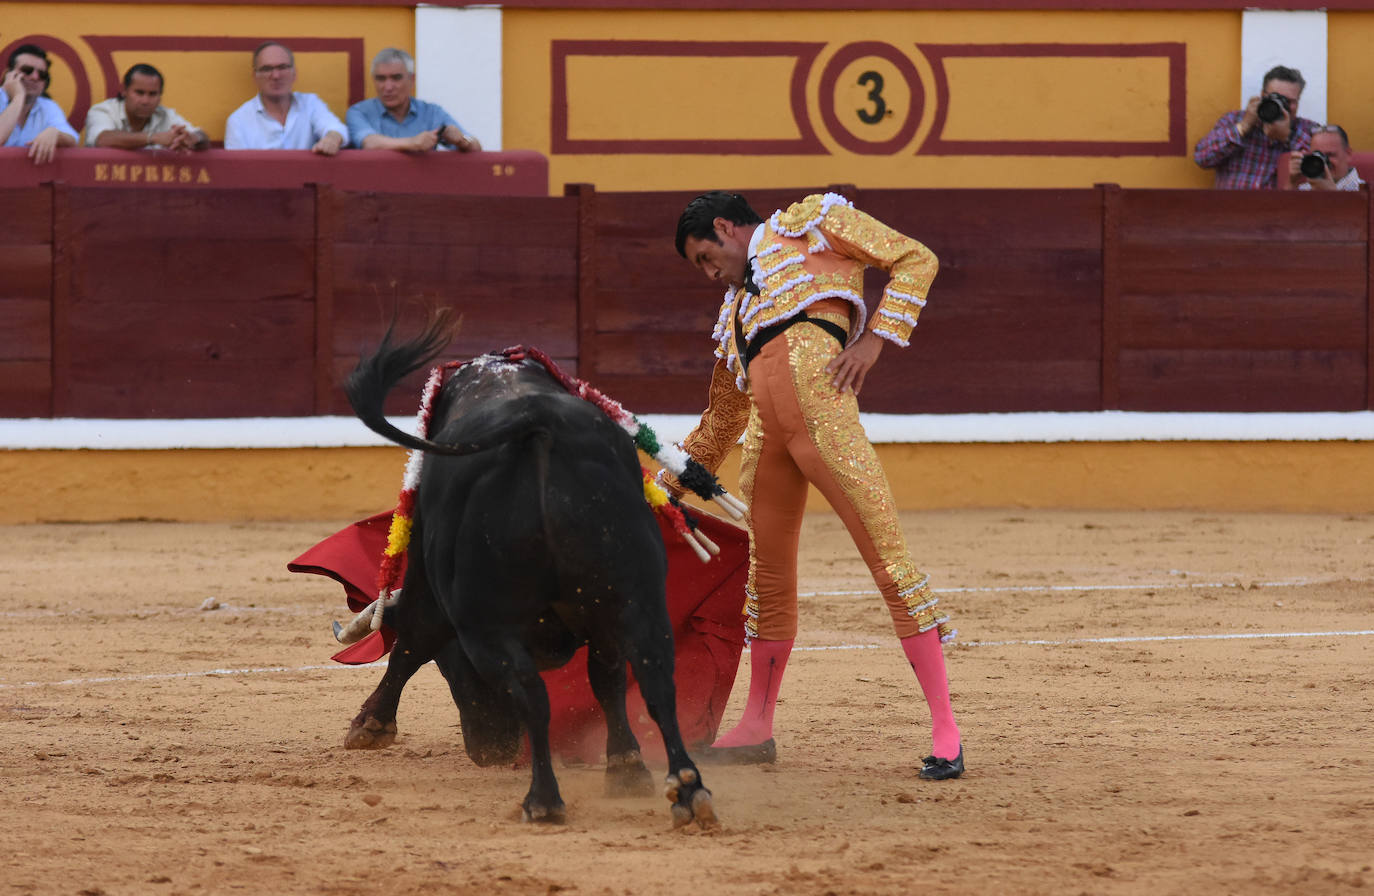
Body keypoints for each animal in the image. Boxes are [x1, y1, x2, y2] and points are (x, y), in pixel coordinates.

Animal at [343, 325, 719, 830]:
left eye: (447, 664)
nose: (492, 752)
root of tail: (538, 425)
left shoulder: (428, 580)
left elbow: (411, 643)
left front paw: (370, 724)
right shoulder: (603, 620)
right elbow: (608, 682)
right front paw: (626, 767)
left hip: (487, 625)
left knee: (532, 697)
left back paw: (543, 799)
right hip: (636, 597)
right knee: (656, 682)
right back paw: (688, 791)